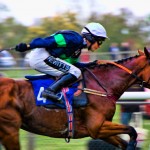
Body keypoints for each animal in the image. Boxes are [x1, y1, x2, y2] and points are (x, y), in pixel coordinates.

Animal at [0, 47, 150, 150]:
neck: (103, 85)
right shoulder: (96, 127)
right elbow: (132, 130)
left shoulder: (101, 129)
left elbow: (124, 141)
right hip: (10, 129)